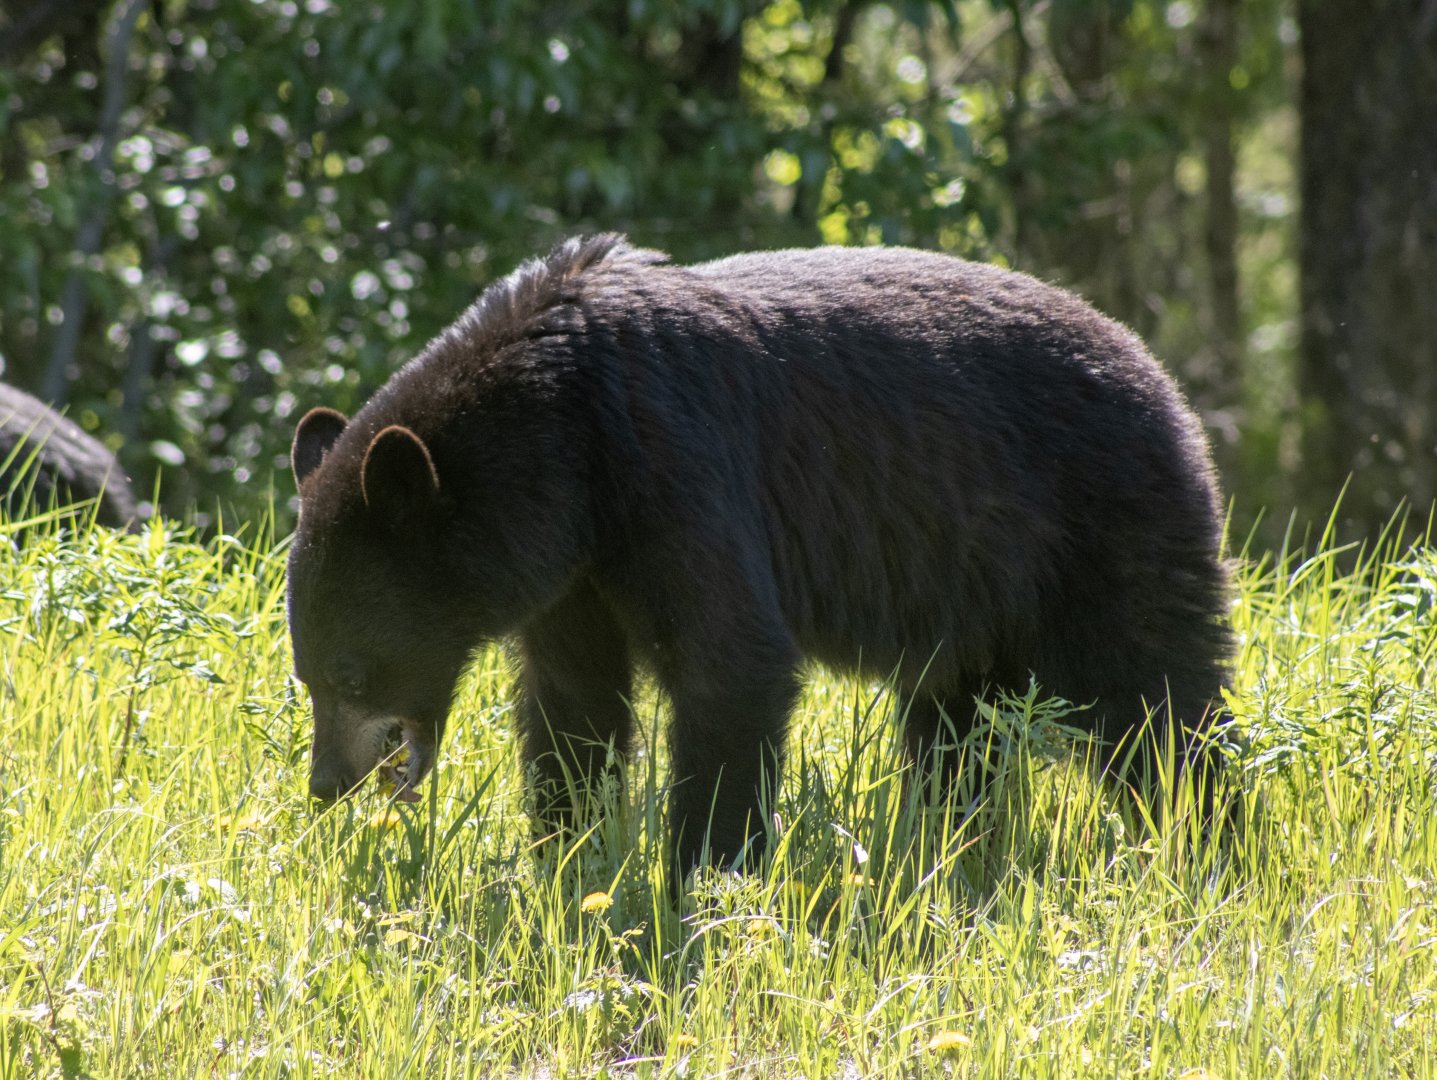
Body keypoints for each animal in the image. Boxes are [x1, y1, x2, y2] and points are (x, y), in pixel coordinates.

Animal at [287, 234, 1231, 884]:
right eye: (305, 673)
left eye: (348, 669)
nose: (326, 783)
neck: (562, 434)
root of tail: (1159, 374)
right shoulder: (572, 572)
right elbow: (572, 701)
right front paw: (568, 854)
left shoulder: (674, 468)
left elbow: (730, 664)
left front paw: (698, 877)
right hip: (973, 591)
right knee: (959, 732)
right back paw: (952, 851)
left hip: (1101, 525)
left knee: (1157, 701)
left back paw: (1209, 841)